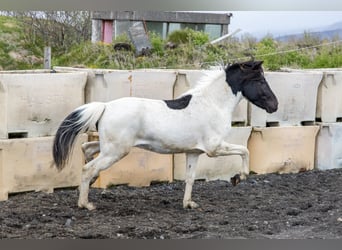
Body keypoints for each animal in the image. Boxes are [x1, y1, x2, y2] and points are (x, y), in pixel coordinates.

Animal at [52, 59, 278, 210]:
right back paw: (86, 204)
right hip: (116, 151)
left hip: (110, 147)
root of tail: (105, 106)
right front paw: (238, 178)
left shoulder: (194, 152)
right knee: (87, 168)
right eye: (261, 81)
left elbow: (190, 177)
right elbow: (245, 150)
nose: (274, 106)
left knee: (86, 149)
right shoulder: (214, 148)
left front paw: (189, 204)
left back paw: (89, 186)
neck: (212, 103)